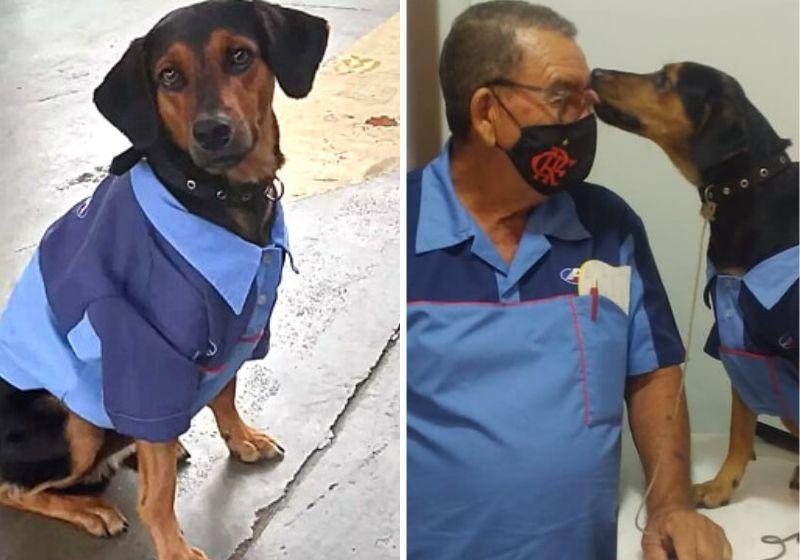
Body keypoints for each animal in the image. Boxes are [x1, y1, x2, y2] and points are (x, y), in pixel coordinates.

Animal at [0, 2, 328, 556]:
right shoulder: (145, 359)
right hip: (73, 426)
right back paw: (89, 507)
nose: (212, 132)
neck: (214, 197)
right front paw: (174, 548)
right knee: (14, 486)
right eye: (168, 76)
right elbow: (156, 499)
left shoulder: (234, 330)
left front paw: (240, 438)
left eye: (240, 56)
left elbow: (224, 392)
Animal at [592, 63, 796, 510]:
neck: (746, 191)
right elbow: (740, 427)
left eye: (665, 80)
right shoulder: (736, 334)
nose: (594, 71)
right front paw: (723, 484)